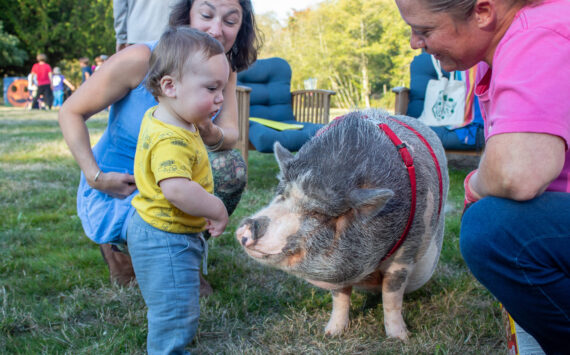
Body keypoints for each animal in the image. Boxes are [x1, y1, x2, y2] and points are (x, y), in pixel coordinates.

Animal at [235, 110, 448, 340]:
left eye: (317, 213)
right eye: (282, 194)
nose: (247, 226)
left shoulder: (406, 253)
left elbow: (392, 297)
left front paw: (400, 338)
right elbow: (340, 297)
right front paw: (331, 333)